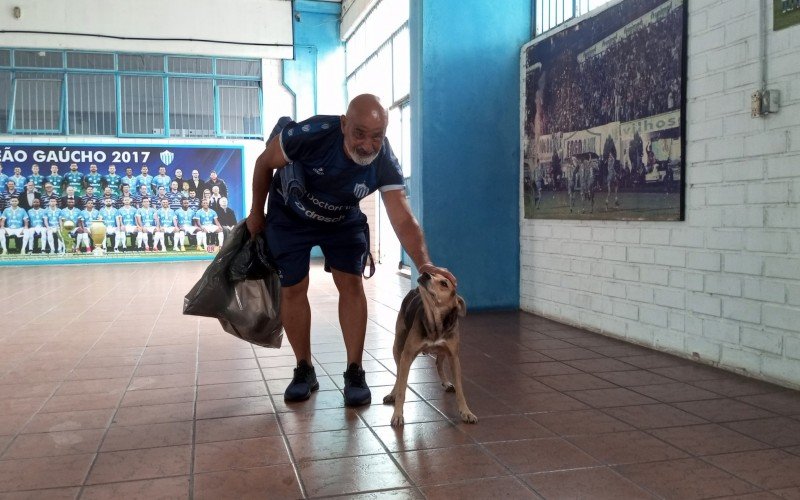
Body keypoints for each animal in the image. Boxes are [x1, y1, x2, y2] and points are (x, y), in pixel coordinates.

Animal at [382, 274, 476, 426]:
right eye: (433, 274)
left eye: (444, 283)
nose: (425, 273)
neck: (435, 323)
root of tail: (414, 290)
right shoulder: (407, 356)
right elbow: (402, 389)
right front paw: (397, 414)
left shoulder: (453, 356)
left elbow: (460, 391)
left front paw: (466, 412)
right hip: (398, 346)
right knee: (398, 373)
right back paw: (393, 394)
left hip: (442, 351)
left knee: (438, 363)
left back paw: (446, 383)